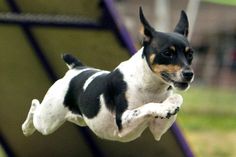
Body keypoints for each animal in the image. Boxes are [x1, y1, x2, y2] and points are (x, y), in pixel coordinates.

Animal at [21, 7, 194, 142]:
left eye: (190, 54)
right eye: (167, 53)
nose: (189, 74)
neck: (149, 84)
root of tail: (76, 68)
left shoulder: (158, 129)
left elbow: (176, 98)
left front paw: (170, 104)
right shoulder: (123, 122)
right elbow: (147, 106)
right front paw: (163, 106)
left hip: (76, 119)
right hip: (47, 121)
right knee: (35, 105)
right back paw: (26, 128)